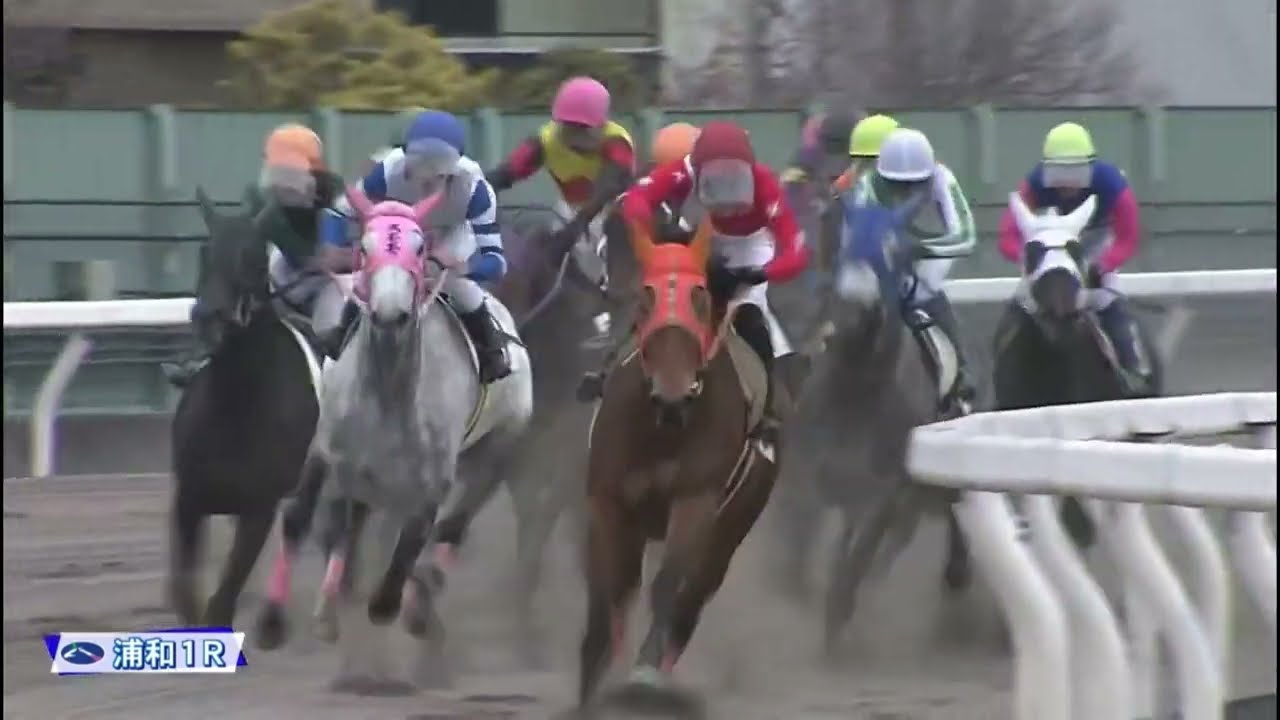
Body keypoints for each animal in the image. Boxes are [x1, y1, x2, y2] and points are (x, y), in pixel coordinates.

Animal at [168, 188, 325, 628]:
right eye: (205, 251)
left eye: (253, 255)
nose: (208, 319)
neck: (235, 405)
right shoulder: (190, 497)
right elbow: (186, 594)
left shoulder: (260, 507)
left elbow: (222, 599)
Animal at [253, 188, 534, 694]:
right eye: (364, 248)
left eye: (420, 250)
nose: (389, 313)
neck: (390, 389)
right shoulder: (333, 454)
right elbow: (315, 523)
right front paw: (283, 621)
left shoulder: (432, 481)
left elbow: (407, 552)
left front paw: (402, 609)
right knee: (329, 524)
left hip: (498, 445)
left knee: (452, 528)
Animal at [576, 227, 781, 715]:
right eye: (644, 297)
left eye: (700, 299)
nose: (673, 396)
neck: (662, 430)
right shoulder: (607, 501)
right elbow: (604, 592)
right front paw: (590, 684)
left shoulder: (695, 500)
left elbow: (668, 584)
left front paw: (644, 676)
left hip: (730, 530)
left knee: (691, 601)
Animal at [781, 194, 970, 657]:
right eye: (839, 240)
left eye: (895, 252)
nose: (852, 308)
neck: (855, 392)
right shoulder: (804, 472)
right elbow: (796, 546)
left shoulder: (882, 492)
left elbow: (855, 562)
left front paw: (838, 627)